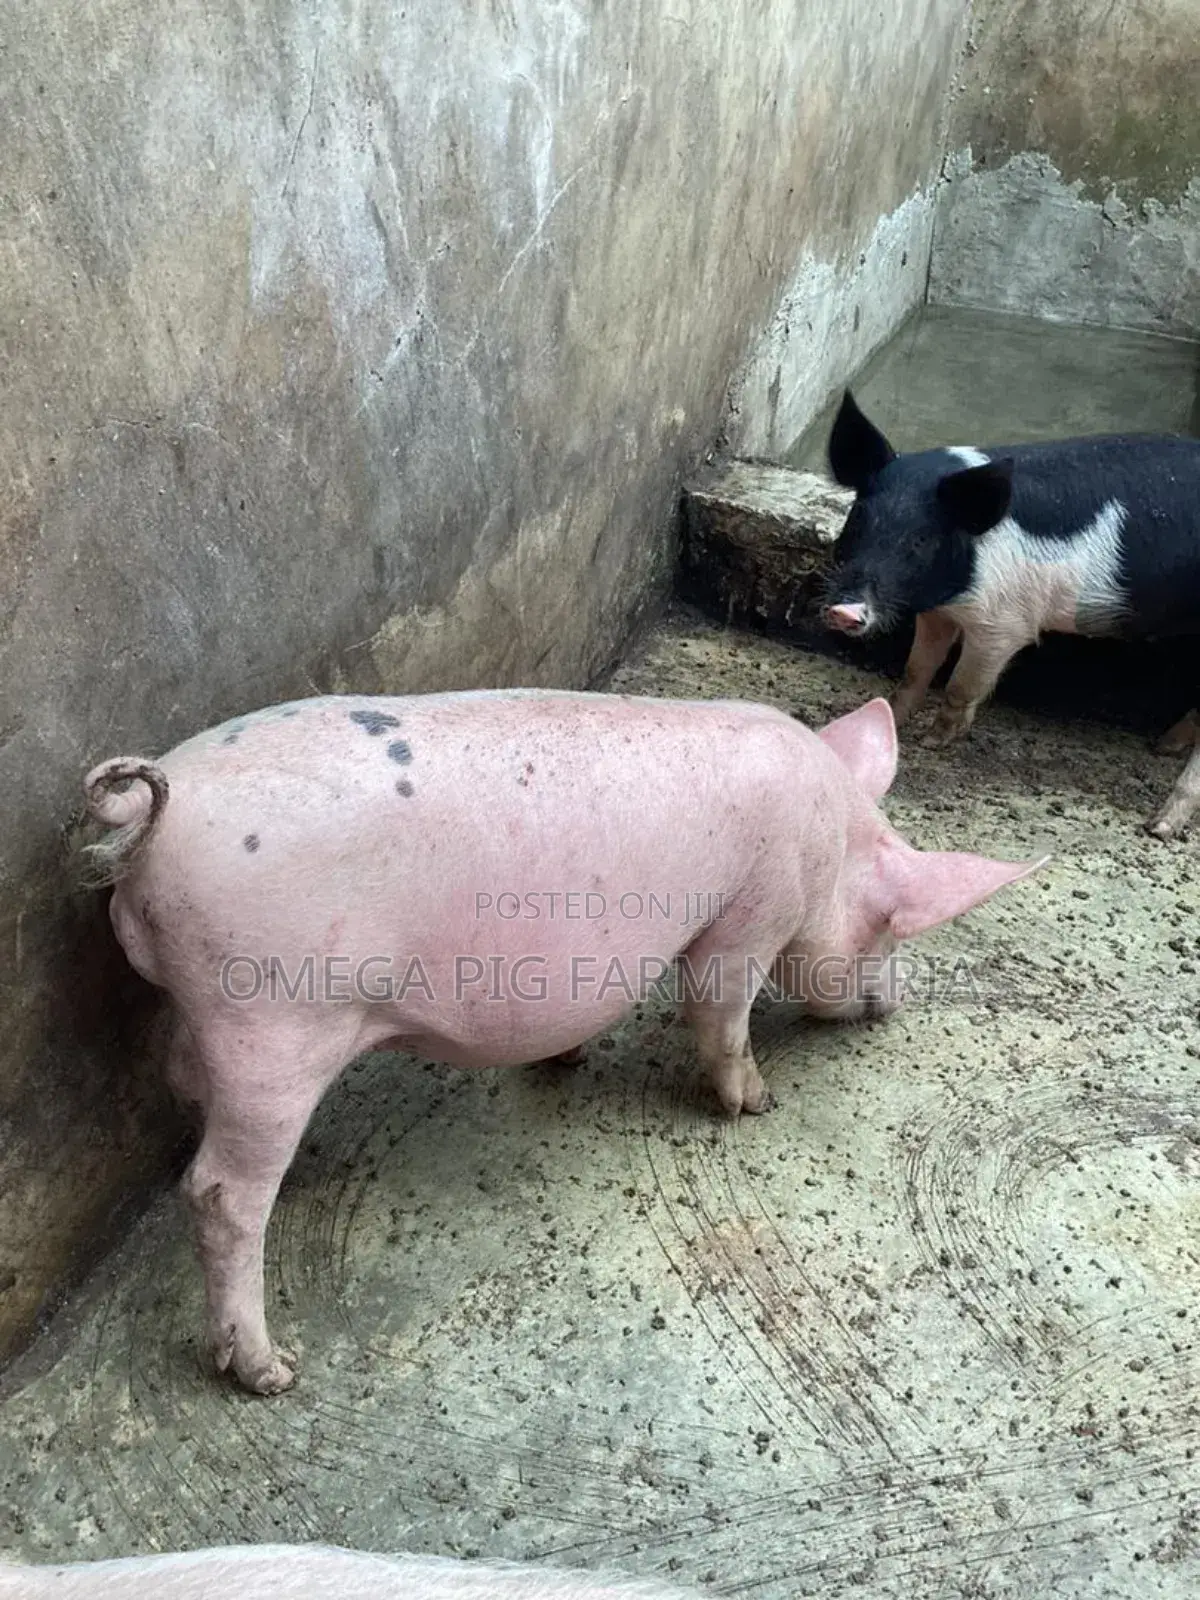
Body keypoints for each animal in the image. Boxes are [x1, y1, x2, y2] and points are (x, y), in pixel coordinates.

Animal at [82, 688, 1045, 1393]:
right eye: (890, 928)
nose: (890, 1009)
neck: (830, 842)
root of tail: (159, 815)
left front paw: (570, 1056)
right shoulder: (751, 912)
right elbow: (720, 1011)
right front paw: (756, 1104)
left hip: (214, 1011)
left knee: (184, 1087)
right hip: (274, 1020)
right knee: (219, 1192)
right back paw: (272, 1373)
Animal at [821, 390, 1200, 838]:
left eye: (919, 540)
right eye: (858, 519)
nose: (844, 609)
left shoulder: (1004, 624)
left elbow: (961, 684)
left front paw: (934, 740)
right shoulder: (939, 613)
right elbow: (916, 670)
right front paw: (893, 715)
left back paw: (1159, 826)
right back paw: (1163, 747)